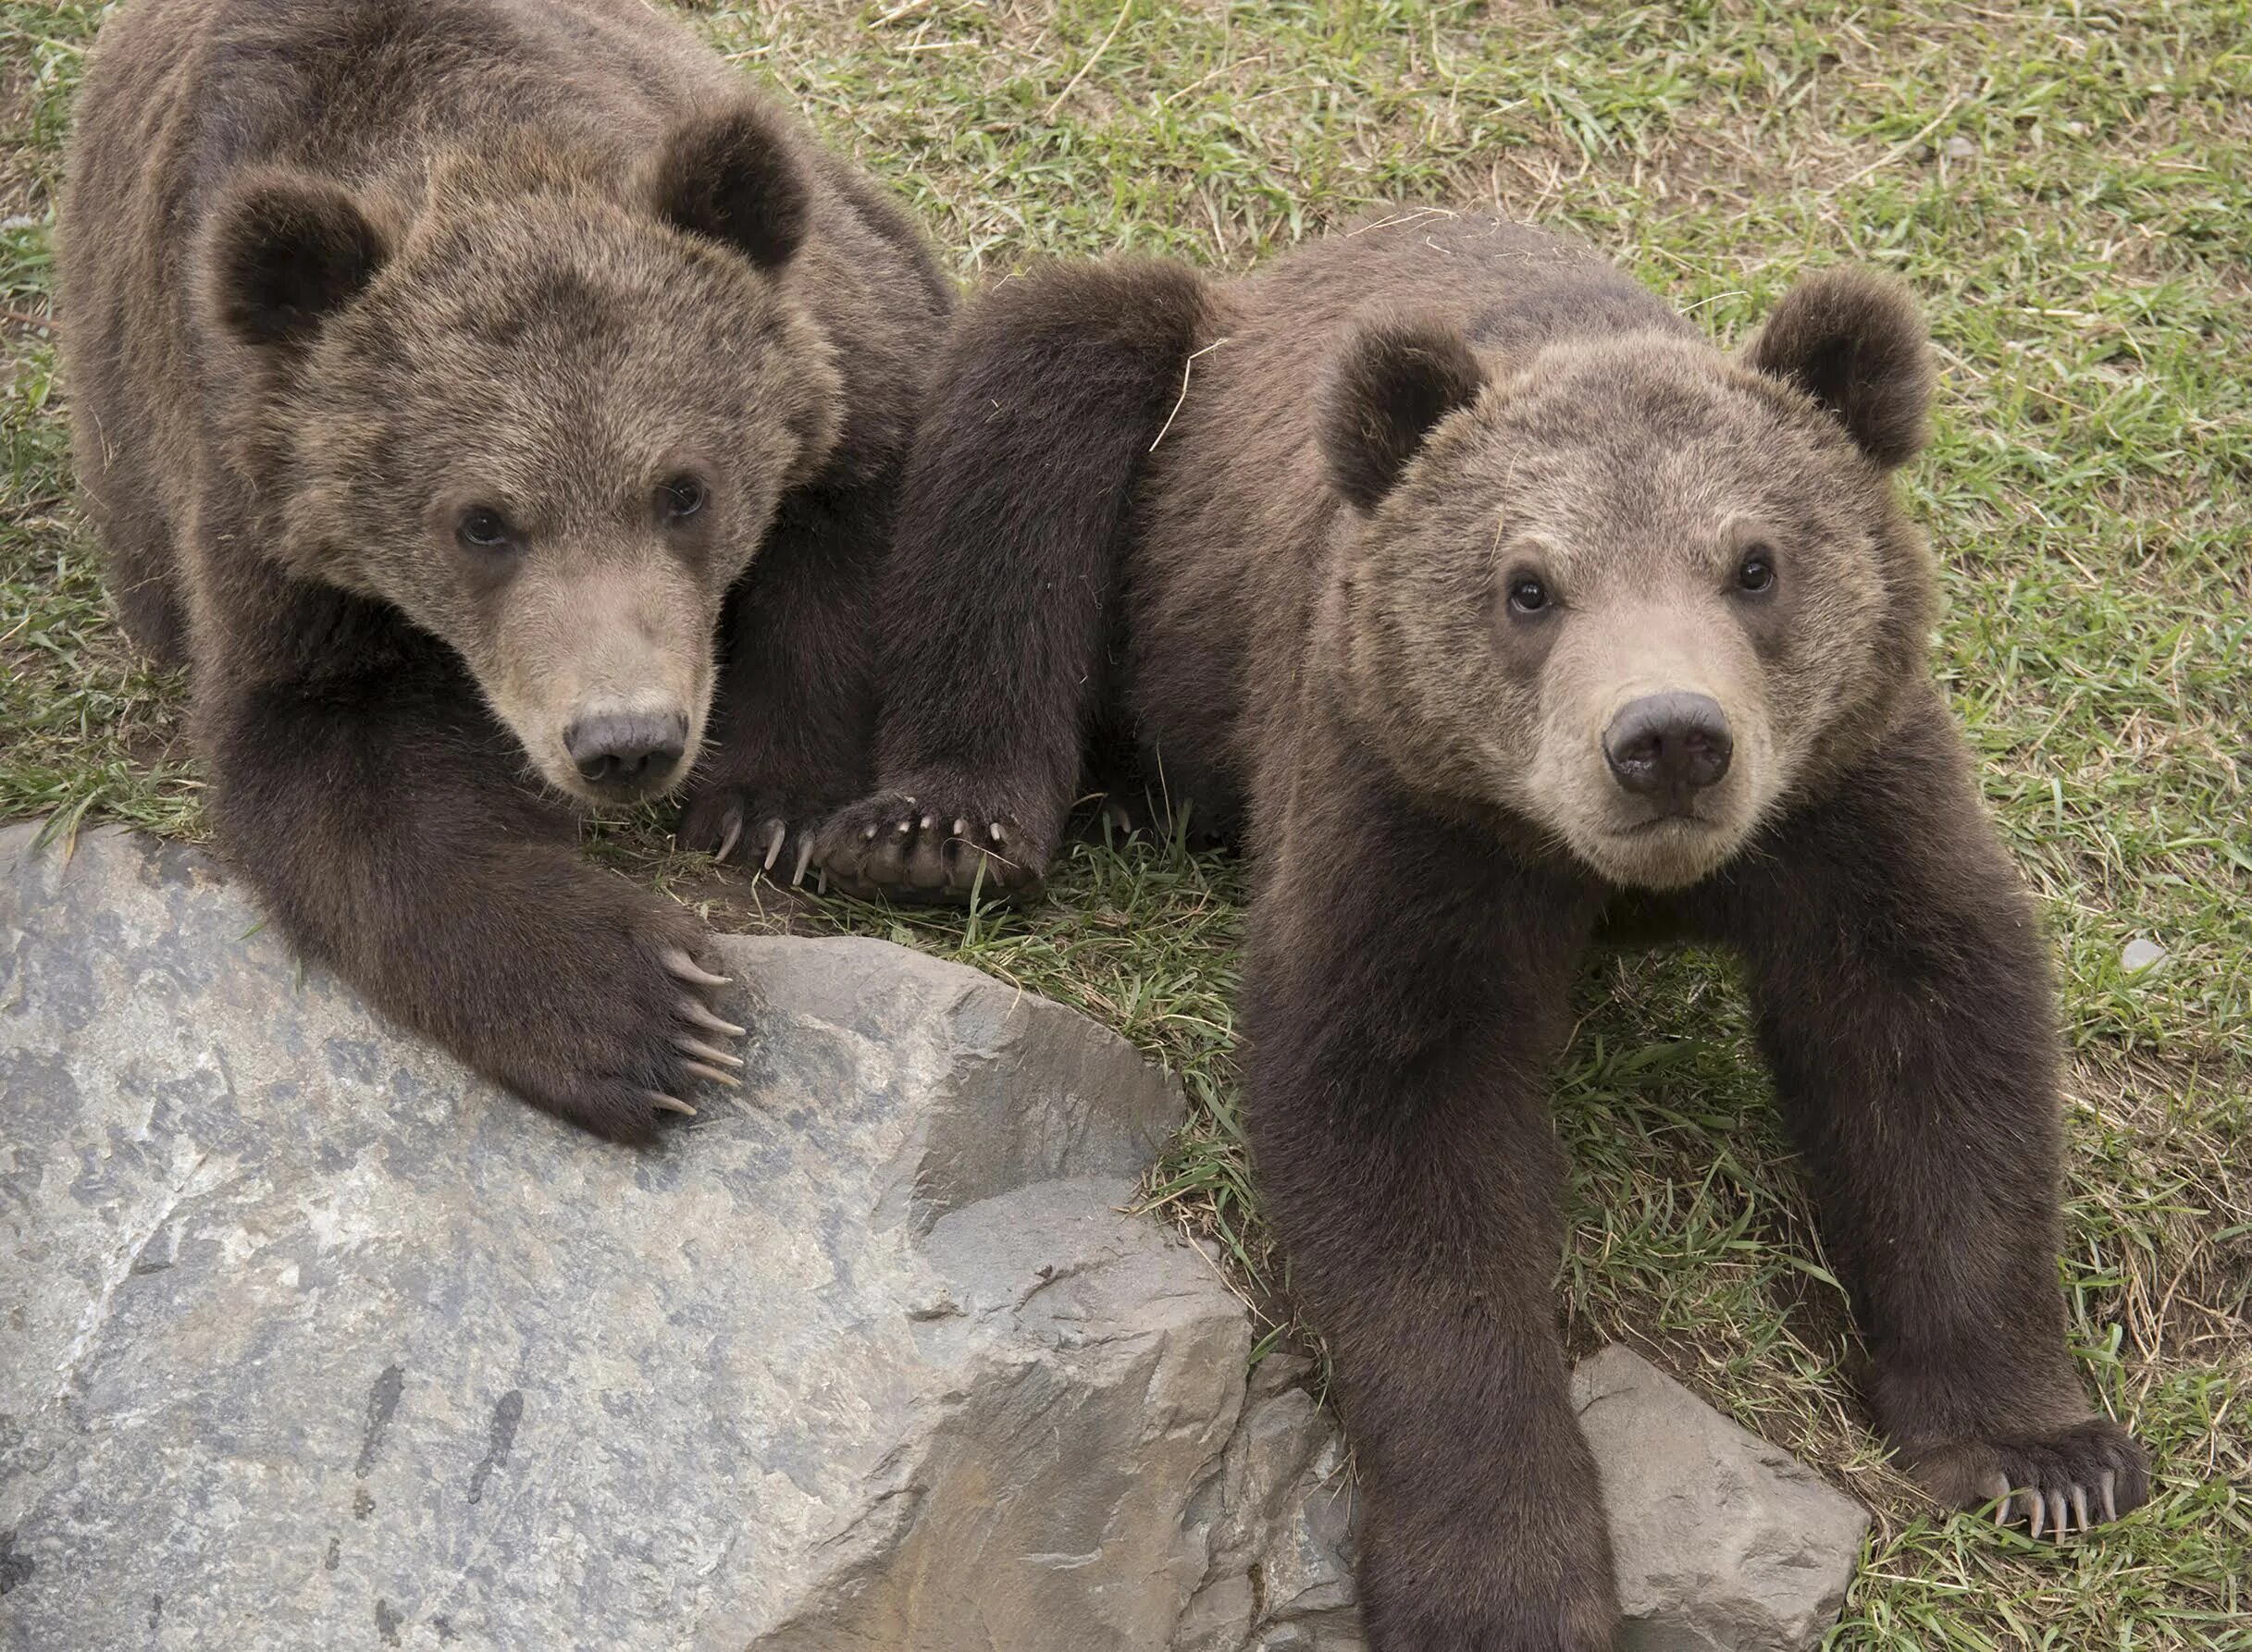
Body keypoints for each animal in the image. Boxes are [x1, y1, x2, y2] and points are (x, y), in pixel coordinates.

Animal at [59, 0, 950, 1138]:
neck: (473, 144)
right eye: (481, 523)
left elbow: (859, 508)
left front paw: (768, 806)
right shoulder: (263, 515)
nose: (626, 742)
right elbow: (335, 768)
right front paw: (647, 1009)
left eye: (684, 490)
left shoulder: (846, 341)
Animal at [814, 210, 2152, 1648]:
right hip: (1165, 472)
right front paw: (1499, 1581)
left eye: (1754, 563)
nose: (1668, 739)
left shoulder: (1844, 798)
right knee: (1027, 416)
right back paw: (939, 830)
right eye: (1528, 585)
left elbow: (1930, 1040)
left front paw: (2041, 1454)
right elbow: (1407, 1148)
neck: (1606, 873)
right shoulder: (1407, 810)